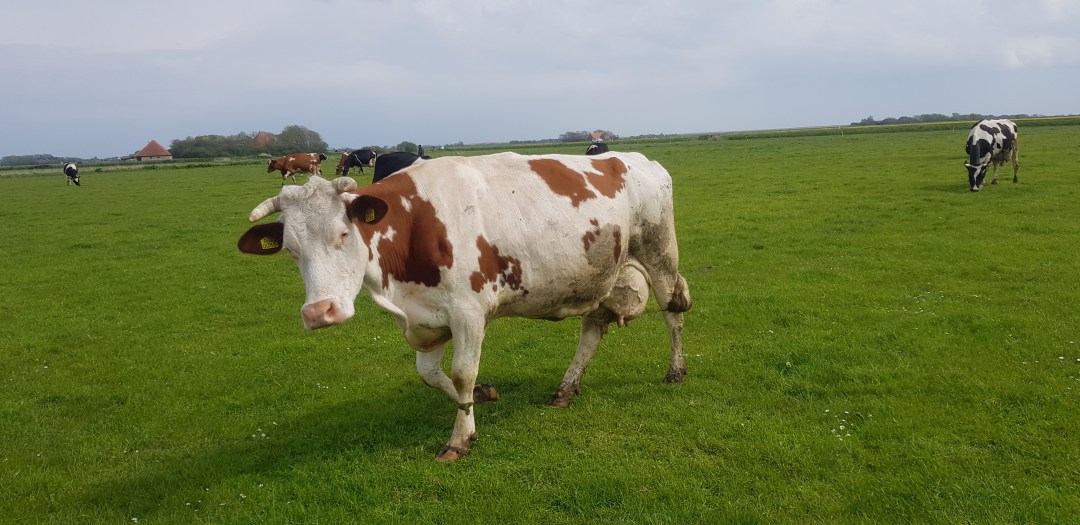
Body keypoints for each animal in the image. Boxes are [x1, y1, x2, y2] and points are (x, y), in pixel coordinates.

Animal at [237, 152, 692, 461]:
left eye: (343, 234)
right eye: (291, 250)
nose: (319, 313)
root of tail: (634, 158)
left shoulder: (468, 312)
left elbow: (461, 372)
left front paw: (459, 439)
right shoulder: (428, 318)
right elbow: (431, 375)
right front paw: (482, 397)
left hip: (660, 255)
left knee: (672, 311)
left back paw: (675, 371)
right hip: (602, 276)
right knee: (592, 330)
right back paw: (565, 389)